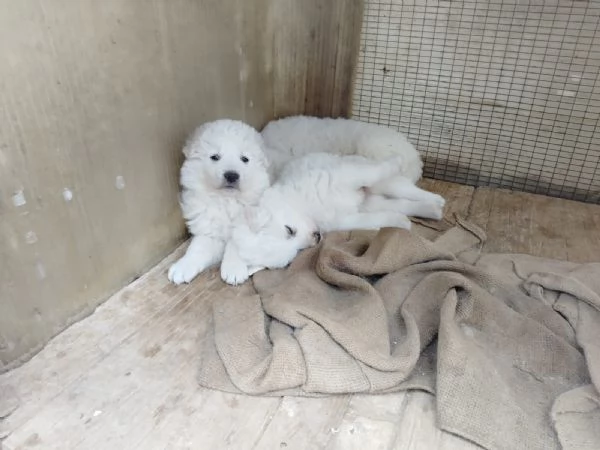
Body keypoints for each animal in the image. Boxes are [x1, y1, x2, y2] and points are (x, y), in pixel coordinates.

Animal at [169, 118, 272, 284]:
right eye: (215, 157)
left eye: (245, 159)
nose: (231, 175)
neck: (227, 200)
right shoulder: (209, 229)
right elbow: (197, 249)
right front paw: (182, 267)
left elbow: (237, 245)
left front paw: (234, 270)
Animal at [220, 151, 446, 284]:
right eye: (295, 253)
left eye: (289, 230)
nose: (317, 237)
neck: (306, 205)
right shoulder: (344, 219)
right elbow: (374, 219)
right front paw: (400, 222)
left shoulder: (346, 176)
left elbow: (375, 171)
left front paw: (396, 162)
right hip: (373, 201)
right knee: (400, 204)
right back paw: (430, 210)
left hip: (379, 182)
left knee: (404, 188)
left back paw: (436, 199)